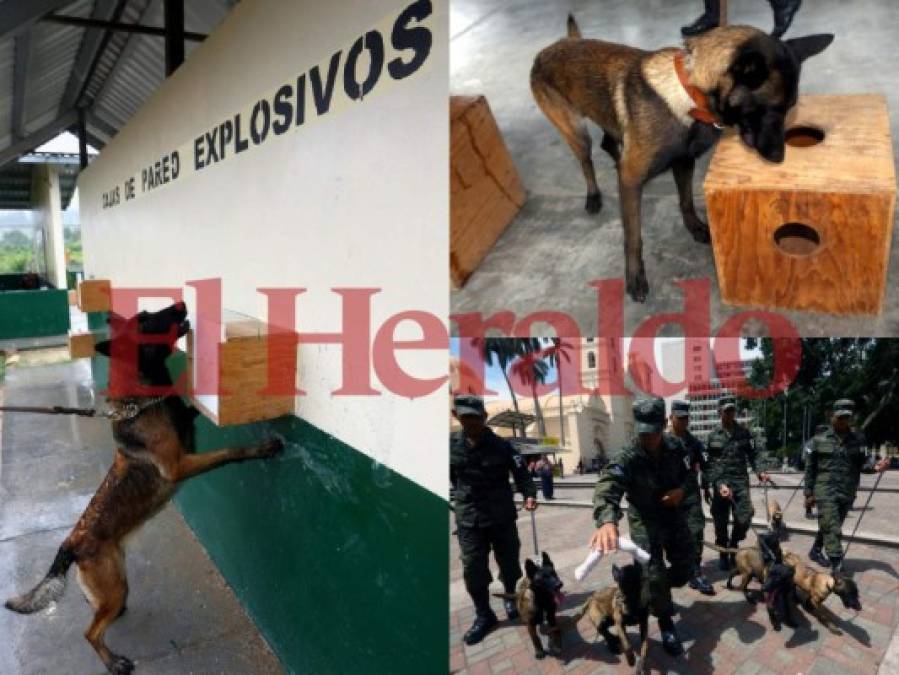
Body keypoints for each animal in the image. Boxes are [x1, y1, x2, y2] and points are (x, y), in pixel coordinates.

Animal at [3, 304, 284, 672]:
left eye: (148, 312)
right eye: (147, 321)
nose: (181, 304)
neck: (144, 399)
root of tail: (71, 542)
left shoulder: (184, 421)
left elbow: (192, 408)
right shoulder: (179, 465)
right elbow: (227, 452)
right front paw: (261, 448)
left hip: (115, 578)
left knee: (96, 608)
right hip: (114, 588)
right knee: (89, 632)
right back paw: (113, 662)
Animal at [532, 12, 832, 304]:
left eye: (789, 108)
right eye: (771, 109)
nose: (779, 156)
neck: (690, 96)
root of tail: (558, 44)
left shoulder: (684, 161)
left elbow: (686, 201)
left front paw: (696, 227)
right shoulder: (632, 181)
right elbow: (633, 236)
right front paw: (634, 275)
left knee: (609, 143)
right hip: (576, 134)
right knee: (587, 160)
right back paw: (593, 196)